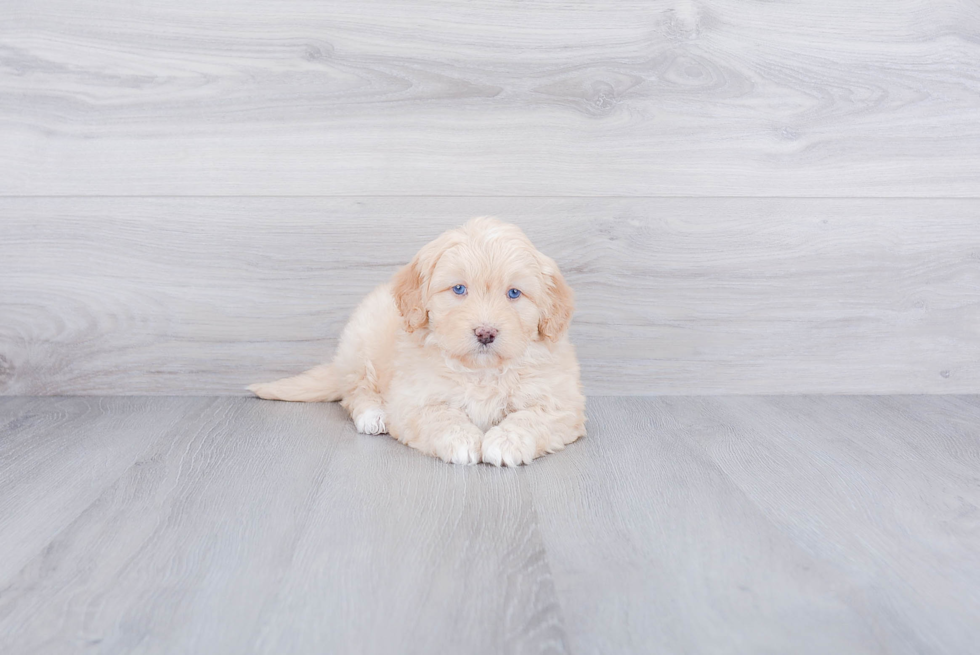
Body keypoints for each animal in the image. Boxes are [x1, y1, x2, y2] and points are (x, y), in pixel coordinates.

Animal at [249, 219, 584, 466]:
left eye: (514, 293)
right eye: (459, 289)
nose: (485, 333)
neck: (481, 372)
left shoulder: (562, 402)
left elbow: (531, 417)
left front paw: (505, 441)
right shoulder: (413, 398)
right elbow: (440, 415)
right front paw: (461, 439)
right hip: (360, 345)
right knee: (356, 391)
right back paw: (373, 414)